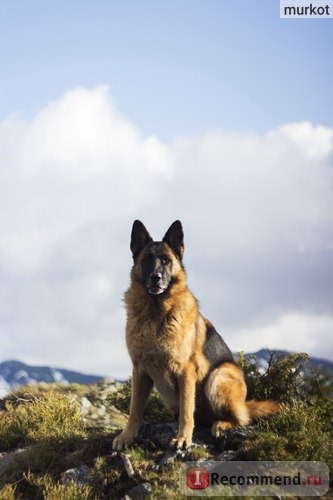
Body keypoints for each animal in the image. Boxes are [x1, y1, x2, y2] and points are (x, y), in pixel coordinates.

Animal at [111, 221, 278, 452]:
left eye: (166, 260)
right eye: (146, 260)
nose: (156, 277)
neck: (155, 314)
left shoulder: (186, 371)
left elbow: (187, 410)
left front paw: (183, 438)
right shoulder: (140, 370)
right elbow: (135, 409)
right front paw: (127, 436)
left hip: (218, 376)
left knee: (241, 418)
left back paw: (221, 424)